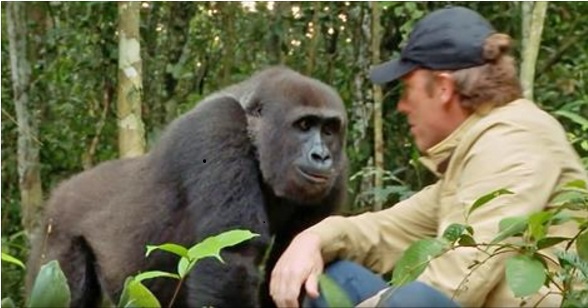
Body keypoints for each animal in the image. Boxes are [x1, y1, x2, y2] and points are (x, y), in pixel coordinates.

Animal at [27, 66, 346, 306]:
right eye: (304, 125)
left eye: (329, 130)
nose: (322, 156)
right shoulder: (218, 125)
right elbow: (231, 256)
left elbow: (291, 259)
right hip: (56, 234)